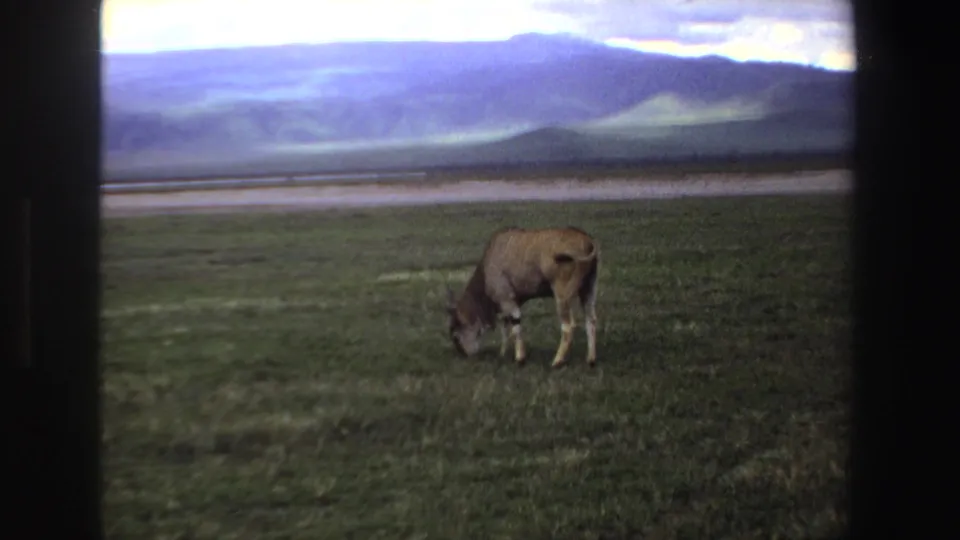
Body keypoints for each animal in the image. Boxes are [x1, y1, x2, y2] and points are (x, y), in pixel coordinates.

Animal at [445, 226, 600, 368]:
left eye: (455, 337)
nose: (465, 355)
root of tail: (587, 241)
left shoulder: (507, 300)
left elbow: (515, 326)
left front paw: (520, 359)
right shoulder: (509, 303)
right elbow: (505, 326)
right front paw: (503, 354)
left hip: (562, 296)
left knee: (568, 327)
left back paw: (557, 362)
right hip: (588, 291)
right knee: (591, 320)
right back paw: (591, 360)